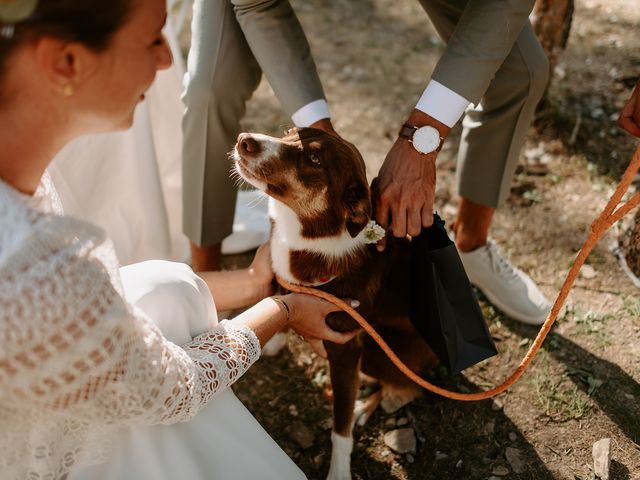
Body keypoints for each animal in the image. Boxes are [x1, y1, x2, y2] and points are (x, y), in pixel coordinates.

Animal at [232, 128, 438, 480]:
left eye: (315, 158)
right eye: (288, 132)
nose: (244, 139)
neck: (305, 235)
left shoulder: (344, 352)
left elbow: (340, 428)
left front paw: (339, 469)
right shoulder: (280, 277)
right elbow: (281, 298)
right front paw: (275, 341)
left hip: (379, 351)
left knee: (407, 386)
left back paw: (364, 406)